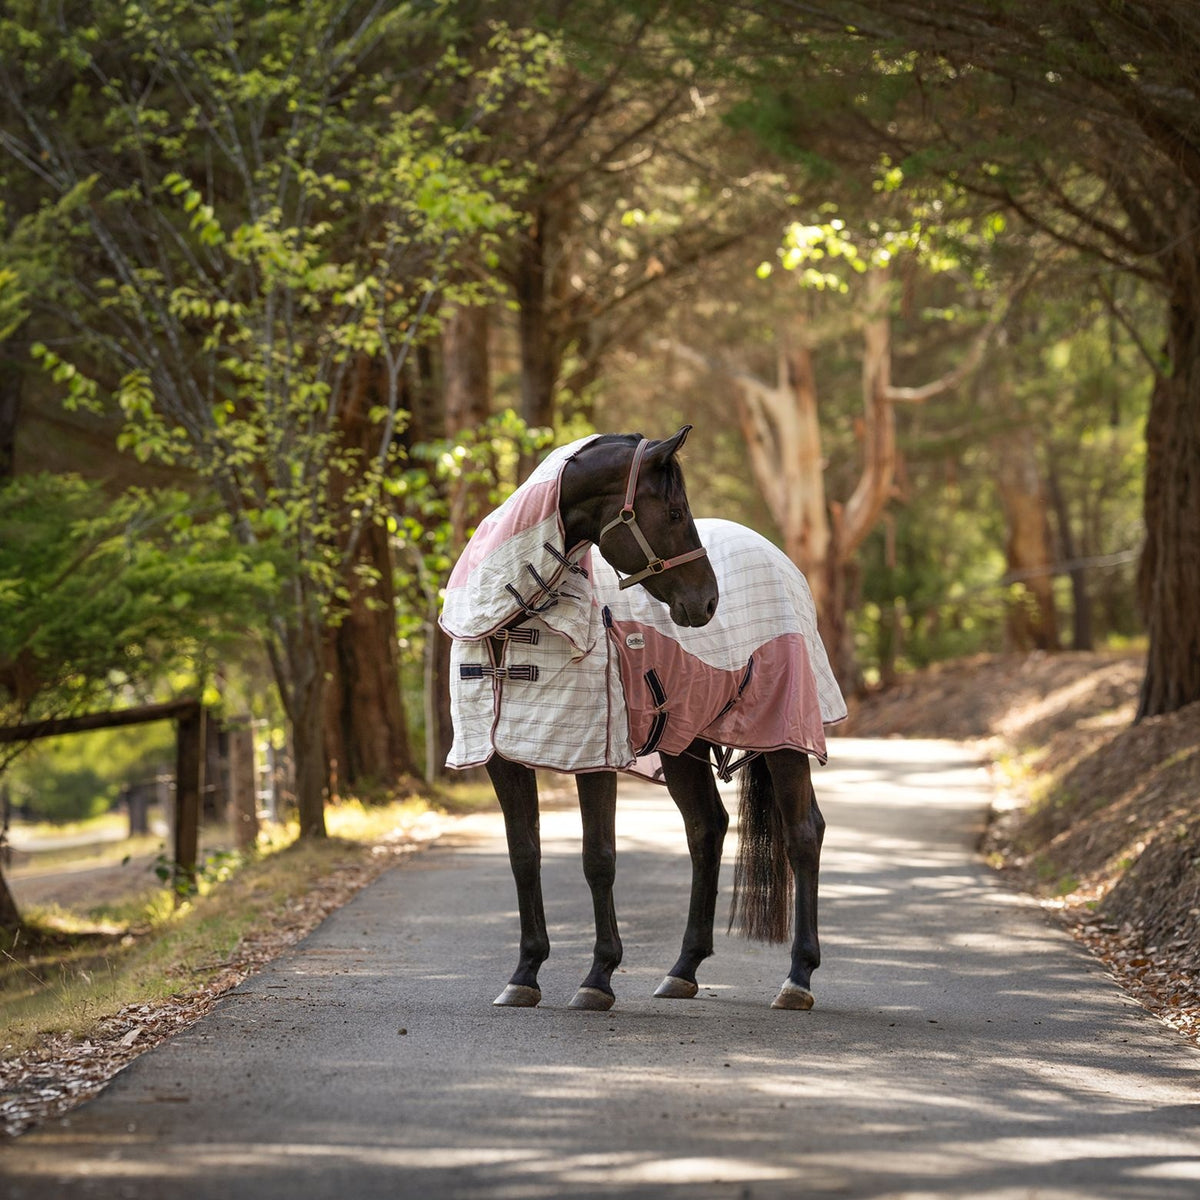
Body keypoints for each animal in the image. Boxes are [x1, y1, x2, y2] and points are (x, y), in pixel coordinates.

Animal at [439, 427, 846, 1012]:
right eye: (675, 512)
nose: (707, 602)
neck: (510, 621)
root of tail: (781, 560)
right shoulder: (502, 757)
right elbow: (524, 856)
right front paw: (524, 975)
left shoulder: (593, 755)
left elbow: (598, 858)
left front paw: (597, 978)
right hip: (682, 744)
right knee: (706, 829)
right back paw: (682, 970)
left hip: (783, 735)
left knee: (803, 833)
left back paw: (798, 978)